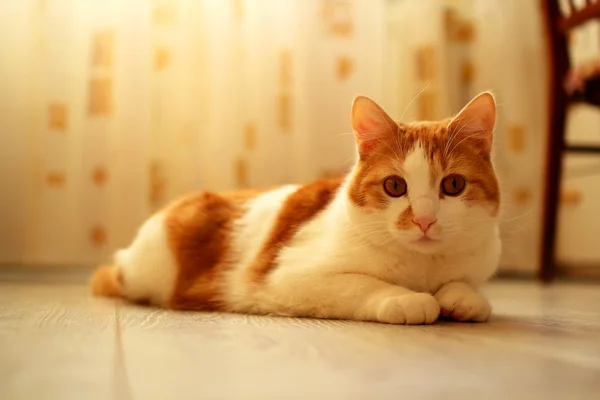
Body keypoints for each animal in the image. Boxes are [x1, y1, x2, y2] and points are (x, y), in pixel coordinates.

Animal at [90, 93, 502, 324]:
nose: (424, 219)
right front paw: (405, 299)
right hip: (148, 271)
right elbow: (362, 284)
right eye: (395, 186)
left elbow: (463, 284)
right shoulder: (290, 277)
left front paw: (463, 298)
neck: (422, 267)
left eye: (453, 185)